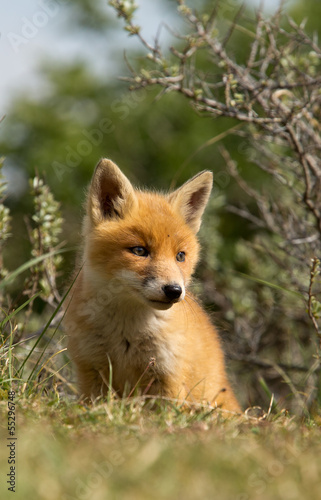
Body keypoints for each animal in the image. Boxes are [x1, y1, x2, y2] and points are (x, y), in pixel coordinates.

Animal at [65, 158, 239, 412]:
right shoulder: (91, 370)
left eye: (180, 256)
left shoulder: (168, 377)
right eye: (139, 251)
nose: (174, 291)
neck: (125, 332)